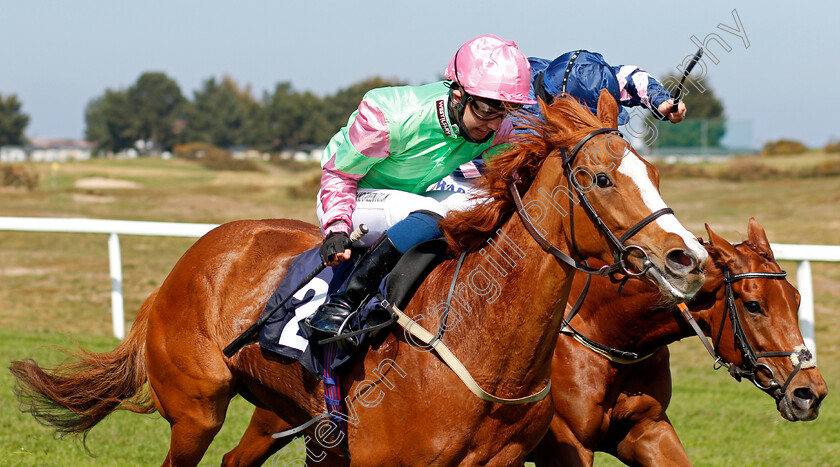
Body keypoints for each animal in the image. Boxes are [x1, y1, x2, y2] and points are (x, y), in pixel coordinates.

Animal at [14, 92, 708, 467]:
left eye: (652, 170)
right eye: (601, 178)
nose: (687, 259)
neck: (481, 348)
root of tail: (185, 265)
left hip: (279, 411)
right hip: (195, 410)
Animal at [524, 218, 828, 466]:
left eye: (797, 299)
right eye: (753, 305)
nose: (810, 393)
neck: (604, 329)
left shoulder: (646, 428)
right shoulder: (566, 443)